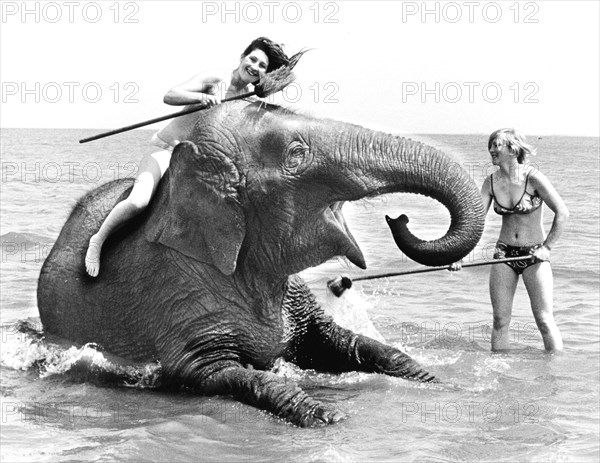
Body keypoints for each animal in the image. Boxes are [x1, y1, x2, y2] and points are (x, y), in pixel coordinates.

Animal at [37, 101, 486, 428]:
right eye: (297, 154)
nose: (398, 218)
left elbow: (337, 343)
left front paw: (437, 382)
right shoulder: (174, 291)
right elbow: (212, 370)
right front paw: (327, 416)